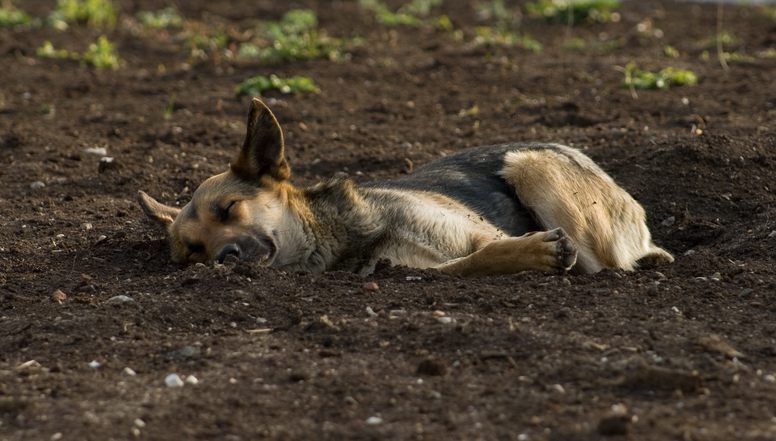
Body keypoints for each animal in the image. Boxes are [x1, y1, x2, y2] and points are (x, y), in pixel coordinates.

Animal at [139, 99, 672, 276]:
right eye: (191, 252)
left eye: (229, 208)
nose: (224, 259)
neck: (347, 236)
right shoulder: (407, 270)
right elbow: (464, 265)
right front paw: (529, 256)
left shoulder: (482, 230)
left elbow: (484, 249)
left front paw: (532, 252)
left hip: (531, 166)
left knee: (608, 261)